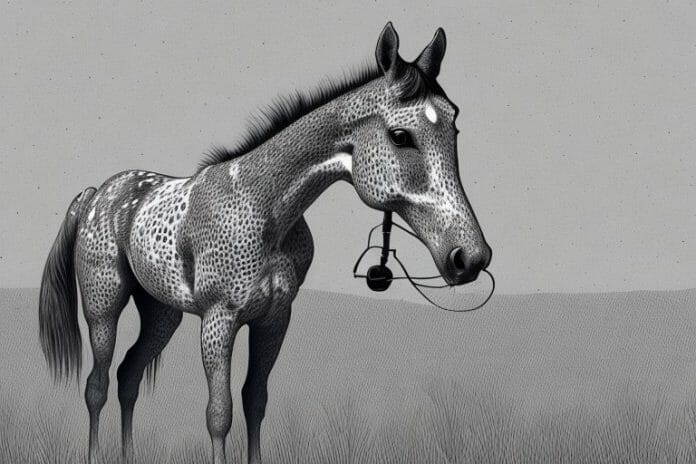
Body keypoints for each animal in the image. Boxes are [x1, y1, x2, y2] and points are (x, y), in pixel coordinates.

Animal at [38, 22, 492, 464]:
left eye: (453, 125)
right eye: (400, 136)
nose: (469, 257)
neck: (263, 207)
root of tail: (97, 194)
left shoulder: (274, 320)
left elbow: (255, 401)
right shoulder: (219, 321)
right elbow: (219, 414)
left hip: (162, 313)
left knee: (128, 376)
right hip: (103, 309)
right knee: (96, 385)